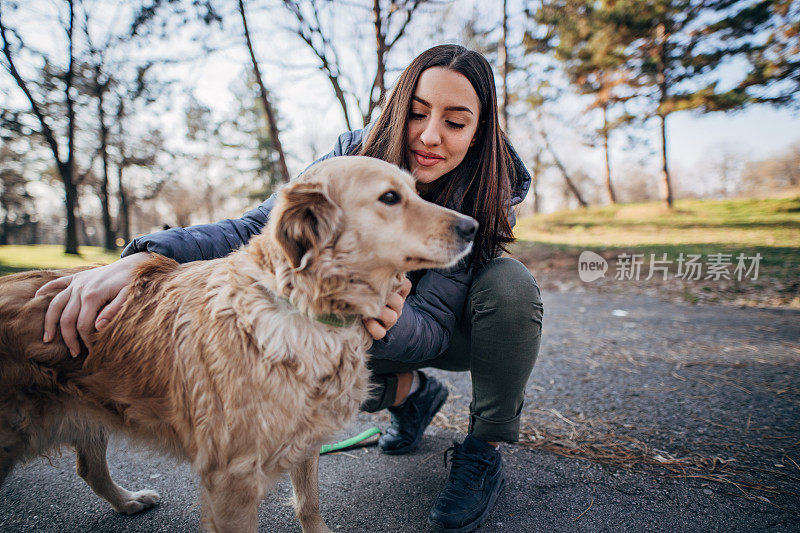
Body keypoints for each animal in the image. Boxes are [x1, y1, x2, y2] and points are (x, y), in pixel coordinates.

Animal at [0, 156, 476, 528]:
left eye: (415, 191)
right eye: (390, 198)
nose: (473, 226)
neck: (301, 306)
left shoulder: (304, 442)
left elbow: (309, 506)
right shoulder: (232, 480)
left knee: (90, 469)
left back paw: (129, 501)